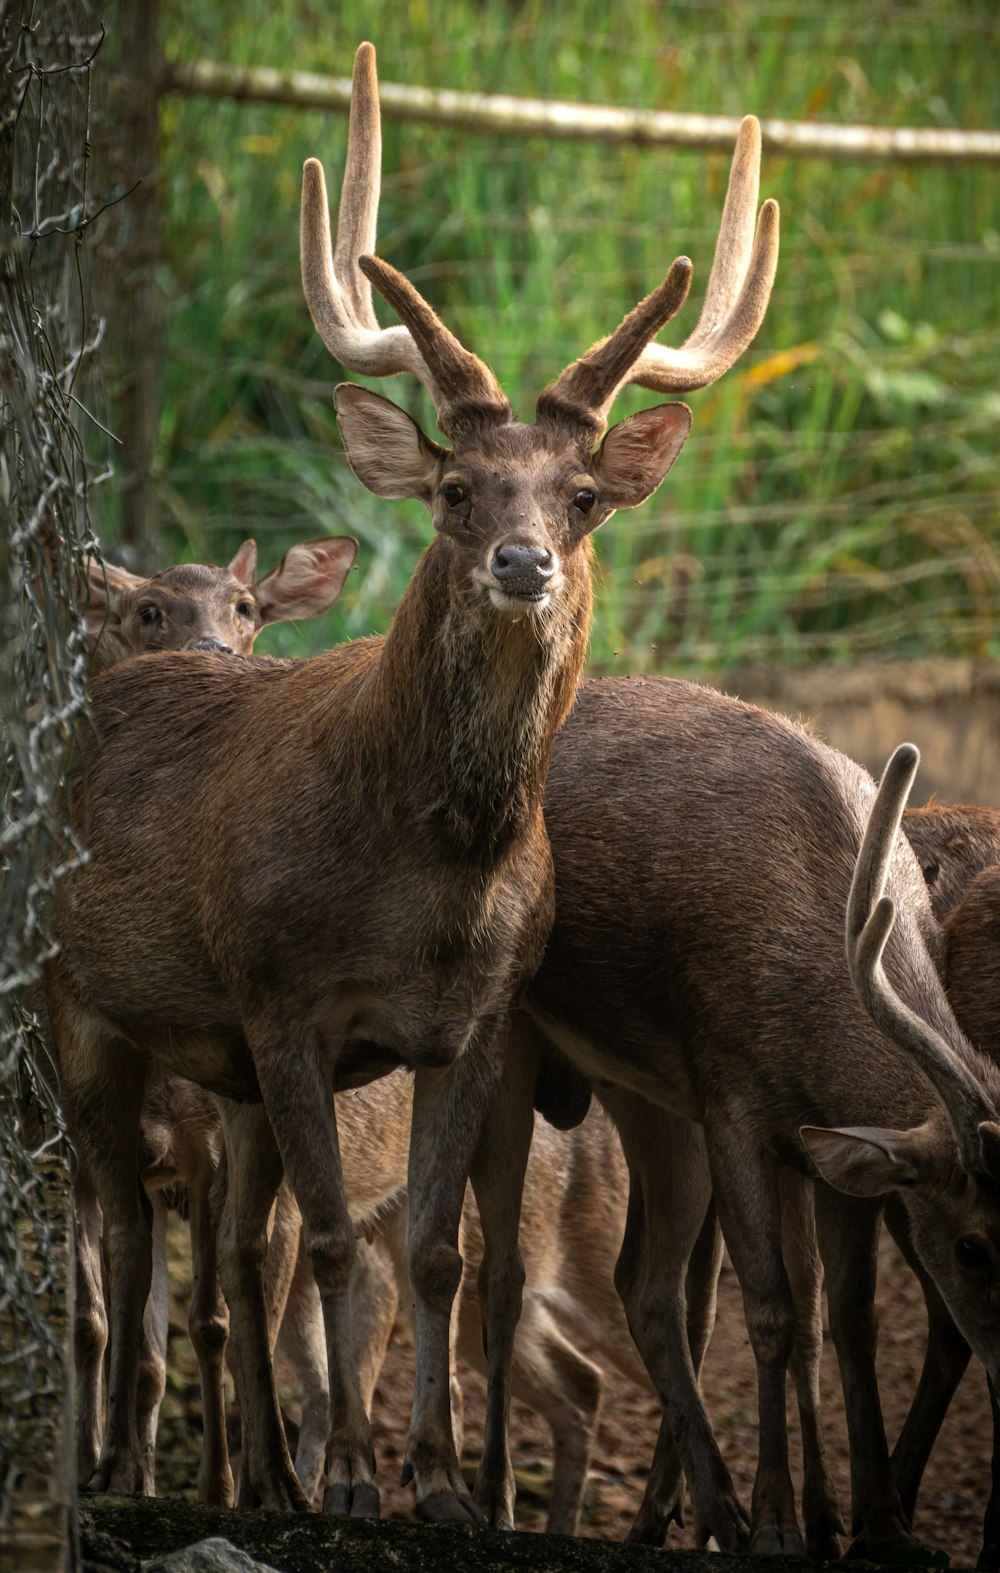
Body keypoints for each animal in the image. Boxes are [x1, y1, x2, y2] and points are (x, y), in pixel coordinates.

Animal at [45, 43, 779, 1522]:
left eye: (580, 497)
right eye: (455, 488)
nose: (523, 562)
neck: (428, 877)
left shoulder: (476, 1026)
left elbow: (432, 1253)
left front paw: (431, 1479)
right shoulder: (282, 1001)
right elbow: (336, 1243)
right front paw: (357, 1479)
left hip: (212, 1068)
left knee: (219, 1261)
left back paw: (254, 1477)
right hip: (76, 1007)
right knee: (123, 1235)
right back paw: (125, 1469)